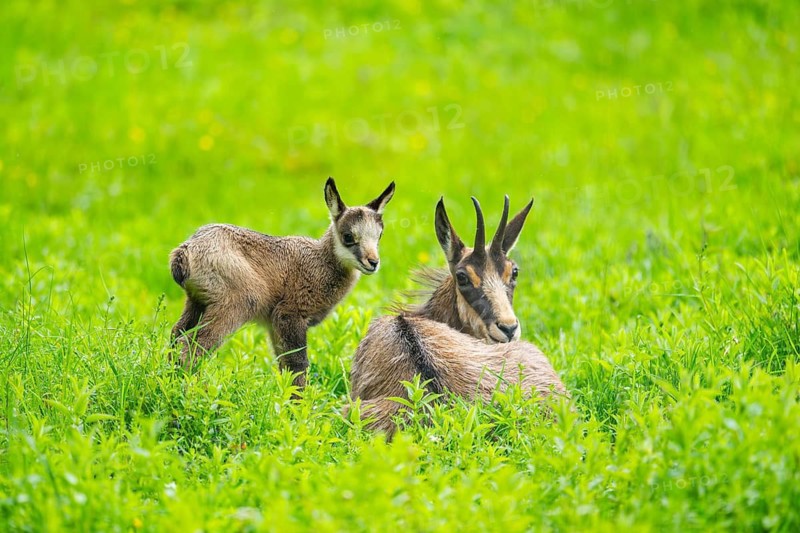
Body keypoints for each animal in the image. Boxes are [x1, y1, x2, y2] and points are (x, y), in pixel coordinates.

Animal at [169, 177, 395, 389]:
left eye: (379, 235)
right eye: (348, 236)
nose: (373, 262)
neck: (320, 261)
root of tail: (185, 252)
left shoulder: (274, 325)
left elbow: (284, 365)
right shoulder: (289, 314)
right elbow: (297, 364)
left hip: (197, 302)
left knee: (176, 335)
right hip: (236, 303)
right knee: (191, 345)